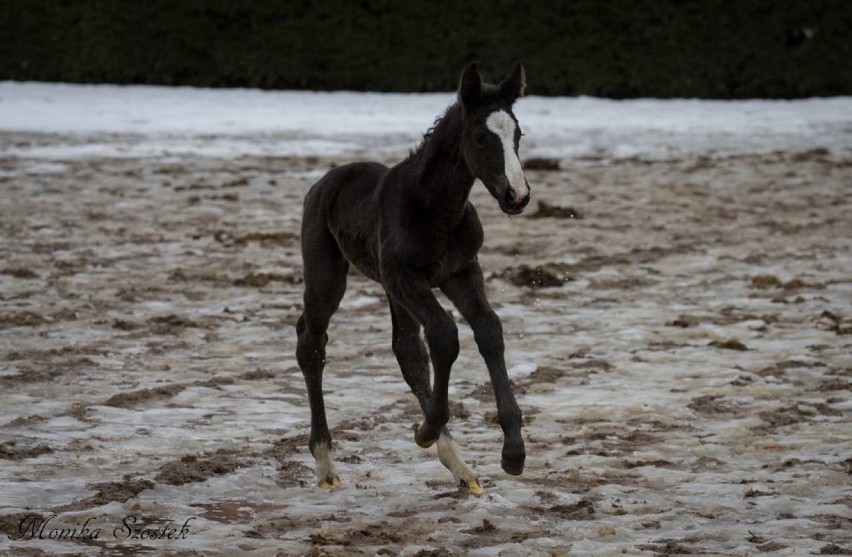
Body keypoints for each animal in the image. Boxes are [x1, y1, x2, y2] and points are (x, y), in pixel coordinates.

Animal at [296, 62, 528, 496]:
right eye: (480, 136)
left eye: (518, 135)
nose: (517, 196)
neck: (437, 208)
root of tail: (324, 182)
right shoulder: (406, 276)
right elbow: (445, 335)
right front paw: (427, 429)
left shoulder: (461, 271)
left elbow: (488, 330)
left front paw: (514, 451)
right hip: (328, 278)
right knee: (311, 344)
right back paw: (324, 461)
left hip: (392, 289)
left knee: (406, 350)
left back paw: (461, 468)